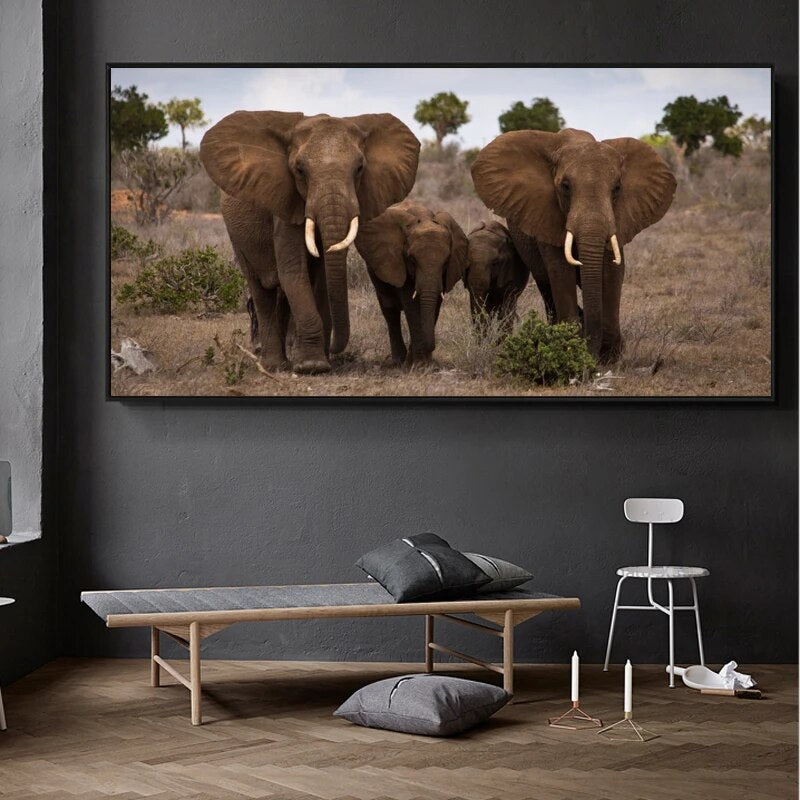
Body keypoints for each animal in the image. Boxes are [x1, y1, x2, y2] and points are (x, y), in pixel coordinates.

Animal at [200, 111, 420, 373]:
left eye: (359, 168)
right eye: (300, 170)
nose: (334, 347)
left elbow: (322, 276)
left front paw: (320, 362)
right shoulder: (286, 202)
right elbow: (293, 270)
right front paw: (312, 366)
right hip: (237, 235)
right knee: (261, 288)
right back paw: (274, 365)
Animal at [355, 201, 468, 366]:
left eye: (446, 261)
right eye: (412, 259)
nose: (431, 348)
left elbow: (434, 304)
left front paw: (423, 362)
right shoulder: (399, 261)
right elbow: (411, 305)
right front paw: (419, 364)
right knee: (389, 309)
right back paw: (398, 361)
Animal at [471, 128, 676, 361]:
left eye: (617, 188)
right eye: (565, 187)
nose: (594, 354)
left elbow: (613, 273)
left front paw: (611, 355)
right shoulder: (546, 216)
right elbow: (560, 271)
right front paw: (572, 347)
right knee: (547, 286)